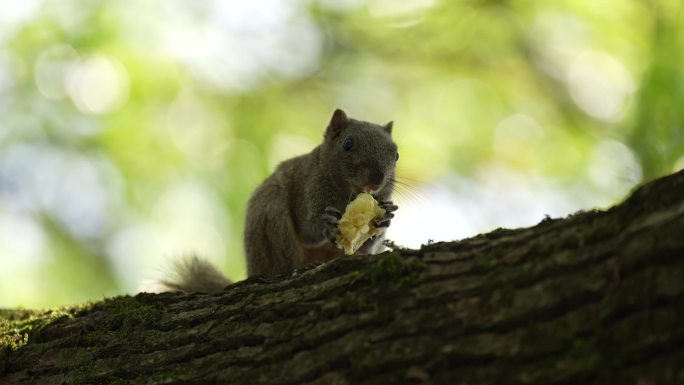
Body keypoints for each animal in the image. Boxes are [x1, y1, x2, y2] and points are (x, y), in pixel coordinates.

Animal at [158, 108, 398, 292]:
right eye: (348, 145)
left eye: (395, 155)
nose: (377, 179)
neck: (347, 194)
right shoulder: (308, 189)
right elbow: (306, 230)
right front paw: (327, 223)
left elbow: (365, 248)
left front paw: (386, 217)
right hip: (272, 217)